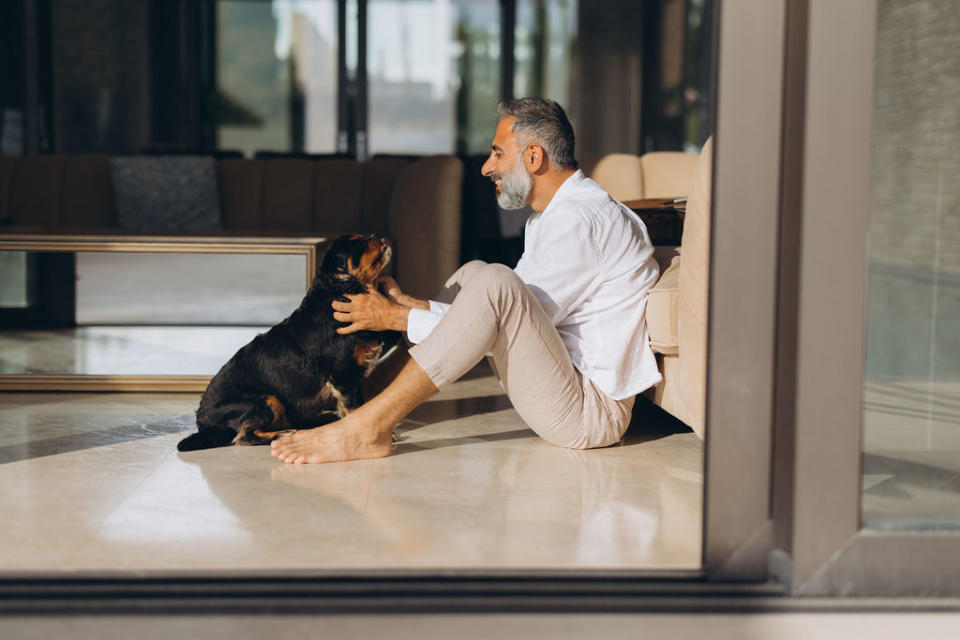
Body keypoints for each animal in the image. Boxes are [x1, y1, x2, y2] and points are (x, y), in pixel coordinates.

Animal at [177, 234, 398, 450]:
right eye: (361, 245)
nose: (378, 235)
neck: (336, 294)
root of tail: (203, 420)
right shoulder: (344, 374)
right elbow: (356, 408)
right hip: (265, 400)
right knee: (245, 435)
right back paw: (284, 434)